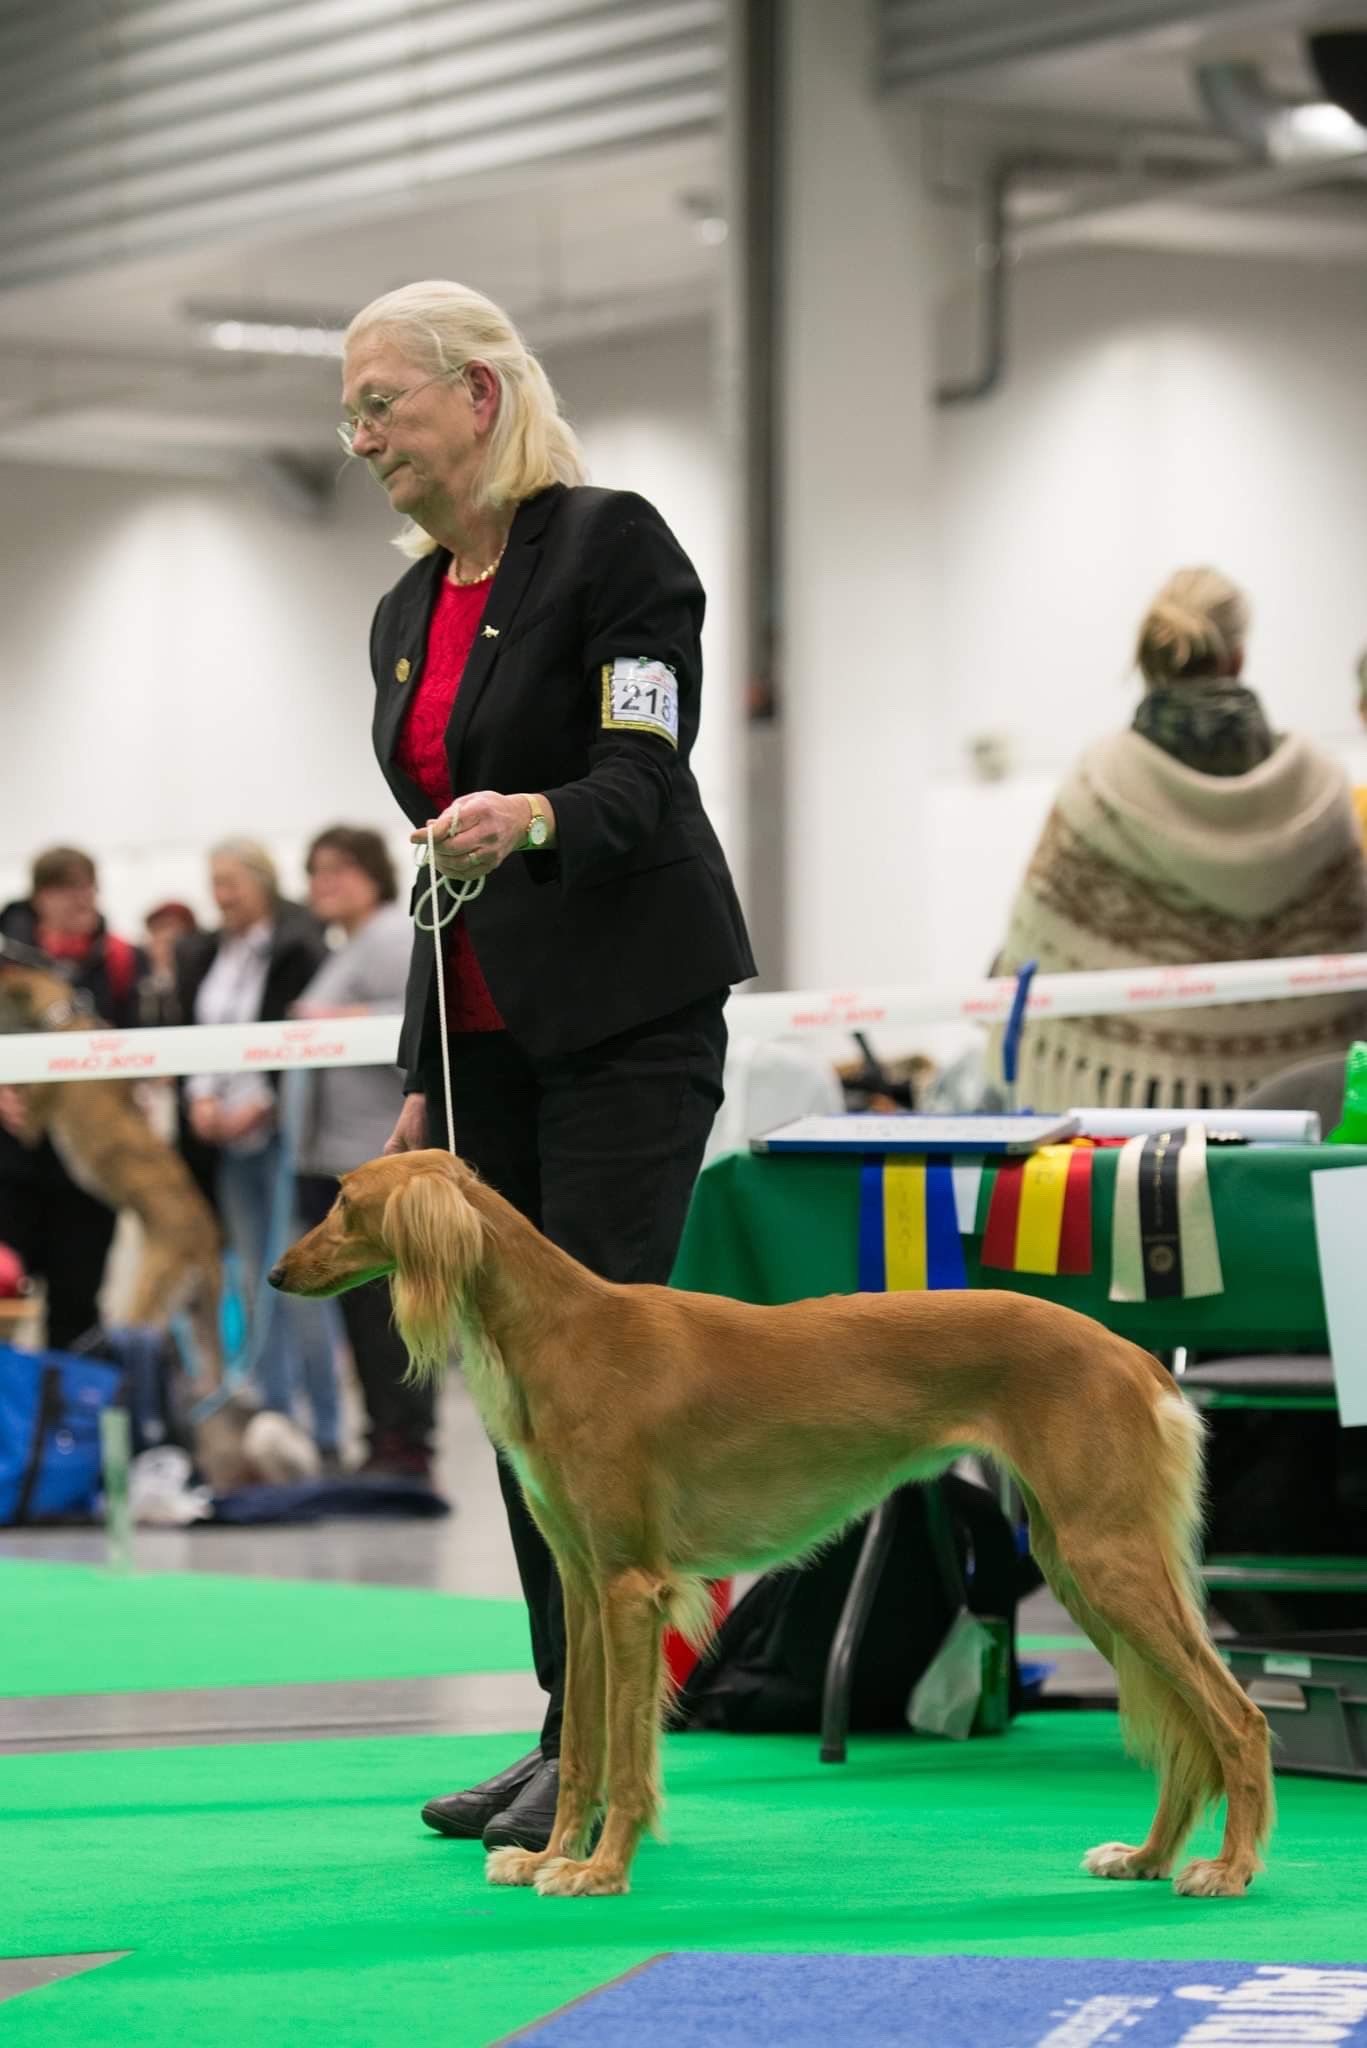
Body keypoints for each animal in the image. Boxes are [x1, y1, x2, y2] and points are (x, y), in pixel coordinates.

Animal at [272, 1155, 1278, 1900]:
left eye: (343, 1204)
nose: (278, 1274)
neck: (561, 1328)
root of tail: (1134, 1356)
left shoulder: (632, 1587)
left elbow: (627, 1754)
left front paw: (599, 1870)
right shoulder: (584, 1584)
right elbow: (585, 1743)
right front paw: (549, 1855)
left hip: (1108, 1559)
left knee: (1234, 1716)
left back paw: (1229, 1868)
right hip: (1079, 1564)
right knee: (1185, 1723)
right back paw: (1145, 1858)